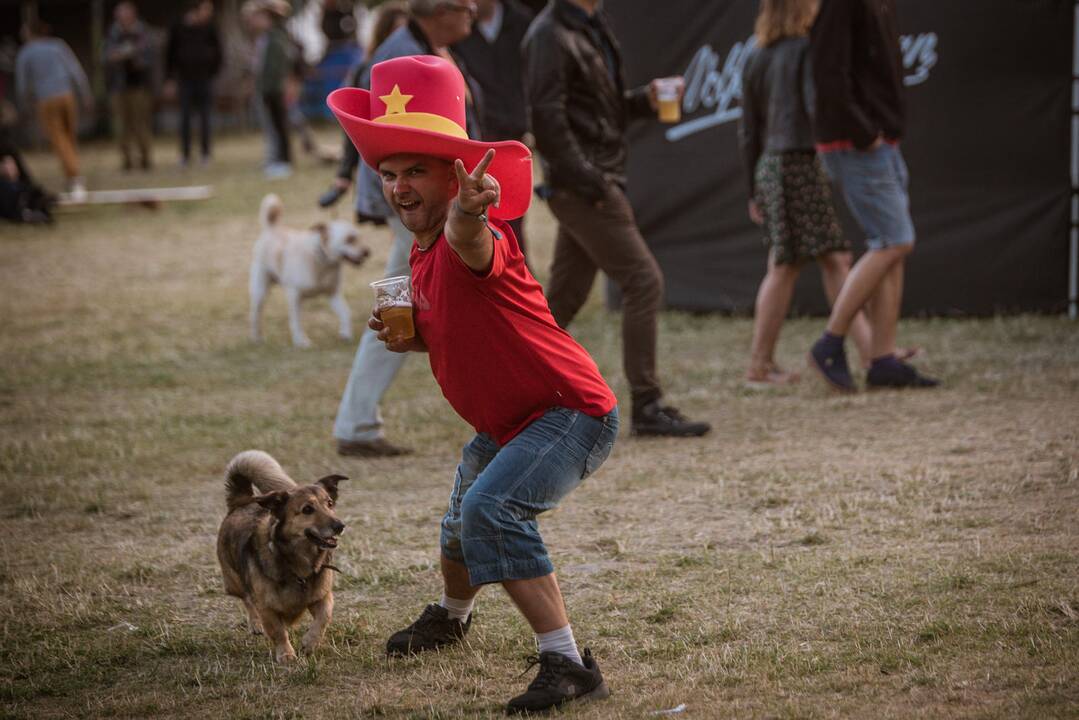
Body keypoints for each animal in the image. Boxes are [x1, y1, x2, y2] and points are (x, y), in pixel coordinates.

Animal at [211, 451, 343, 664]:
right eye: (307, 509)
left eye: (330, 504)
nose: (340, 526)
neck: (298, 563)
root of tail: (242, 502)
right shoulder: (267, 607)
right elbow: (278, 631)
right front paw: (286, 654)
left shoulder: (322, 596)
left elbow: (324, 617)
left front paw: (309, 643)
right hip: (233, 580)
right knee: (247, 598)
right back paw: (256, 624)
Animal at [251, 194, 371, 345]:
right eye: (349, 239)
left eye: (359, 236)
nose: (368, 252)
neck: (322, 261)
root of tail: (272, 227)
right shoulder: (294, 295)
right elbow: (296, 321)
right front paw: (300, 341)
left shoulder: (333, 294)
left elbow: (346, 313)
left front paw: (345, 333)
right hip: (260, 290)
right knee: (255, 315)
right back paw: (257, 338)